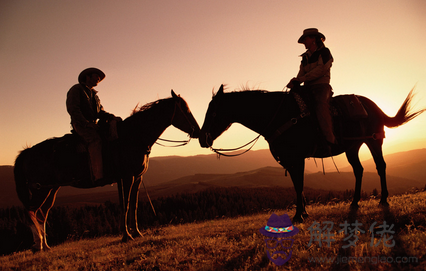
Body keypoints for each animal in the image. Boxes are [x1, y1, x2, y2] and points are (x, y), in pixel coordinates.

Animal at [13, 90, 200, 252]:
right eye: (185, 109)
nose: (198, 131)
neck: (132, 137)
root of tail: (28, 152)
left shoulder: (137, 177)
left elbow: (134, 205)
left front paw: (136, 233)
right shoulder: (127, 177)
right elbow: (126, 205)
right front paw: (127, 236)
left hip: (51, 189)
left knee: (41, 214)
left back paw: (46, 246)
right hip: (41, 189)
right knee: (31, 211)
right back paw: (37, 246)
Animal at [200, 85, 426, 223]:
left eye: (213, 112)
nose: (202, 138)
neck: (279, 115)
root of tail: (374, 105)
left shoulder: (297, 158)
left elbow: (299, 184)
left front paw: (299, 215)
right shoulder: (290, 160)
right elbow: (296, 184)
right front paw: (303, 212)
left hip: (374, 140)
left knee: (380, 166)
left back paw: (384, 199)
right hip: (352, 148)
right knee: (359, 170)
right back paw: (354, 202)